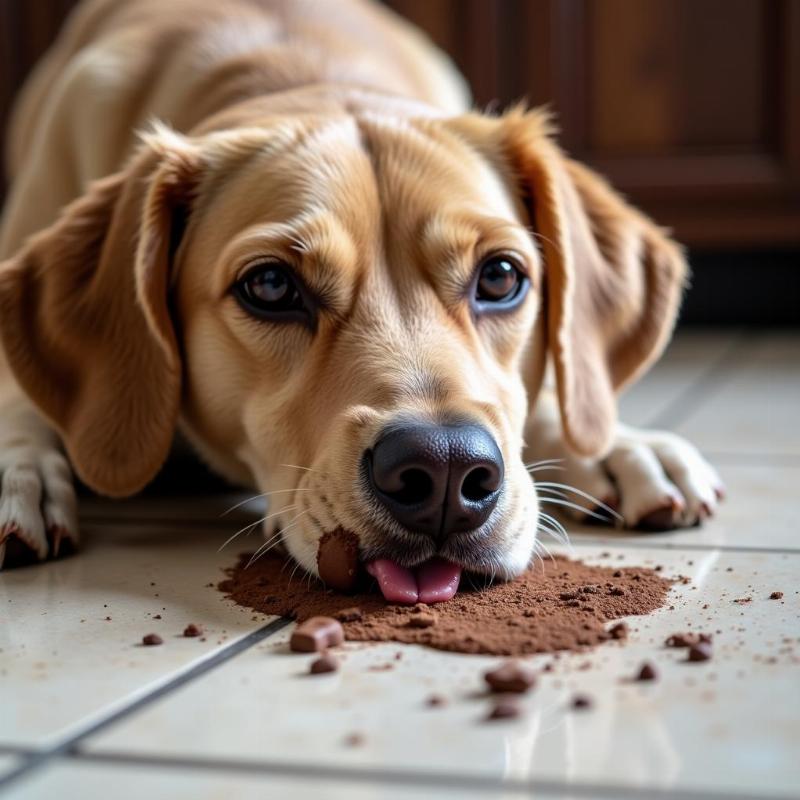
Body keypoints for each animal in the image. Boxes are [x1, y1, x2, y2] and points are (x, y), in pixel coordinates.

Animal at [0, 0, 720, 600]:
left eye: (499, 277)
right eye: (270, 286)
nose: (446, 471)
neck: (301, 70)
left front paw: (617, 447)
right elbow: (20, 400)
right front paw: (18, 471)